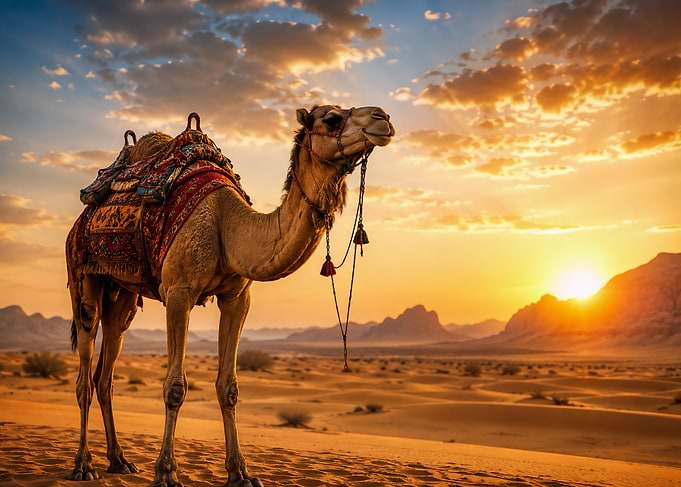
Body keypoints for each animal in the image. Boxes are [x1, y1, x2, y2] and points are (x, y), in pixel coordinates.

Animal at [65, 105, 395, 486]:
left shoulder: (237, 298)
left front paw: (241, 473)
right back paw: (83, 465)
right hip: (82, 275)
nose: (383, 117)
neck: (227, 224)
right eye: (332, 119)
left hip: (122, 294)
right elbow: (174, 387)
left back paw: (119, 461)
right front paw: (166, 472)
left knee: (106, 373)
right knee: (85, 374)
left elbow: (229, 387)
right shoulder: (179, 291)